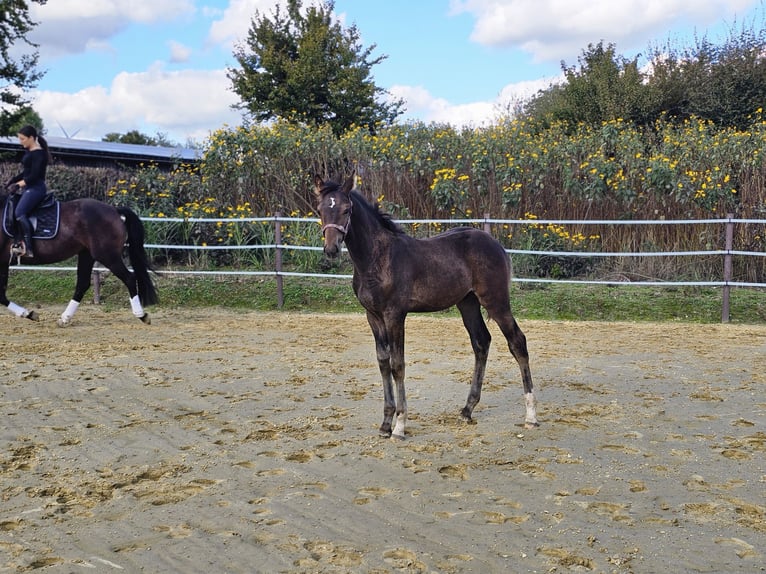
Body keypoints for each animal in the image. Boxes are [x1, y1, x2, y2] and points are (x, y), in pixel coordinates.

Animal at [1, 196, 158, 326]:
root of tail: (114, 210)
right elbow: (1, 295)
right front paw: (28, 313)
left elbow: (0, 295)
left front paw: (29, 314)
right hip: (86, 255)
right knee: (82, 284)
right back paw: (65, 318)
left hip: (107, 256)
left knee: (129, 278)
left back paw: (141, 315)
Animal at [316, 176, 536, 440]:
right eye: (319, 210)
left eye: (347, 210)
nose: (331, 249)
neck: (377, 258)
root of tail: (496, 244)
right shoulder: (373, 316)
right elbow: (383, 363)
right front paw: (385, 424)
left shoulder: (395, 315)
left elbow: (398, 365)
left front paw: (399, 427)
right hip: (468, 302)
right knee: (481, 342)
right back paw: (467, 410)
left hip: (496, 301)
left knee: (518, 342)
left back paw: (531, 416)